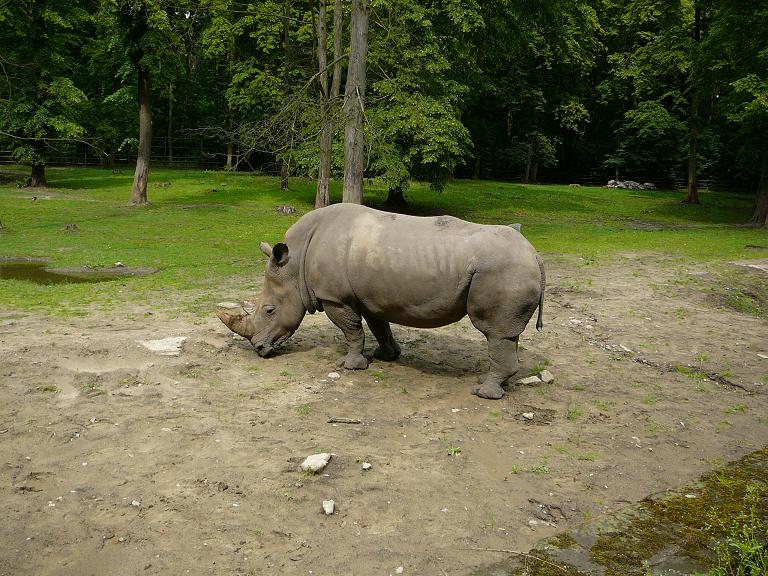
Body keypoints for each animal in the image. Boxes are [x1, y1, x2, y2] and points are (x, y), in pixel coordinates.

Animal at [217, 203, 545, 399]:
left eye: (269, 310)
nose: (259, 350)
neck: (295, 263)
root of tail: (534, 253)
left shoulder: (335, 297)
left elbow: (351, 331)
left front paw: (350, 366)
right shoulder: (369, 295)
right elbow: (377, 326)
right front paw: (387, 355)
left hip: (503, 270)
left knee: (495, 331)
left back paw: (483, 393)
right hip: (508, 270)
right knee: (506, 334)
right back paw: (490, 383)